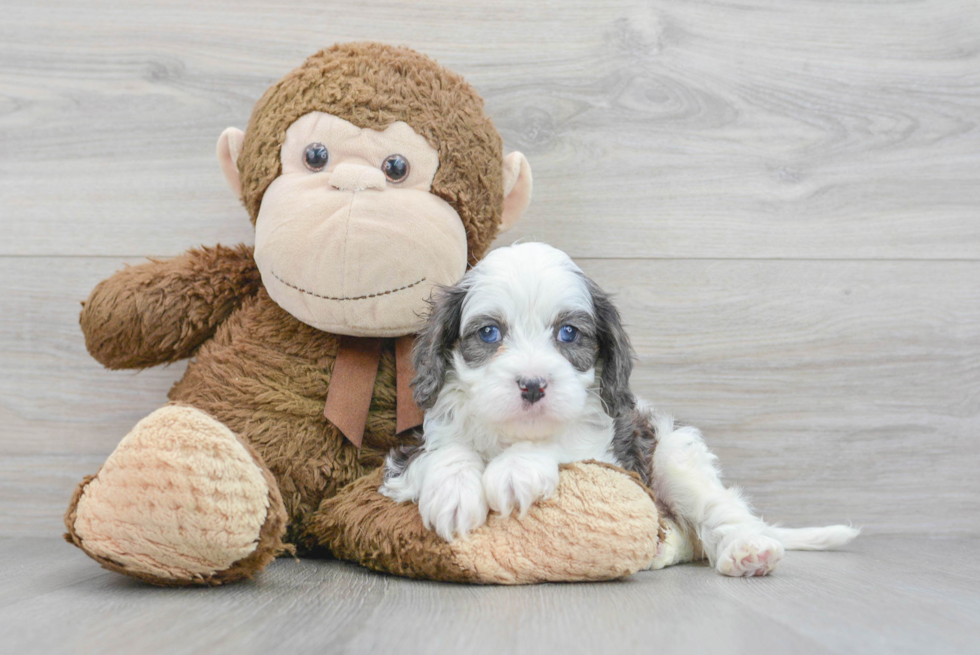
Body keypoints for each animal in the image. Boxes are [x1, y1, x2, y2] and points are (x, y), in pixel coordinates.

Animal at [382, 243, 856, 576]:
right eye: (489, 333)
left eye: (569, 333)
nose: (533, 385)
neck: (514, 432)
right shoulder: (410, 451)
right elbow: (445, 451)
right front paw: (454, 493)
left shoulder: (609, 449)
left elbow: (564, 441)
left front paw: (517, 470)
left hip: (672, 453)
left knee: (719, 509)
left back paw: (746, 549)